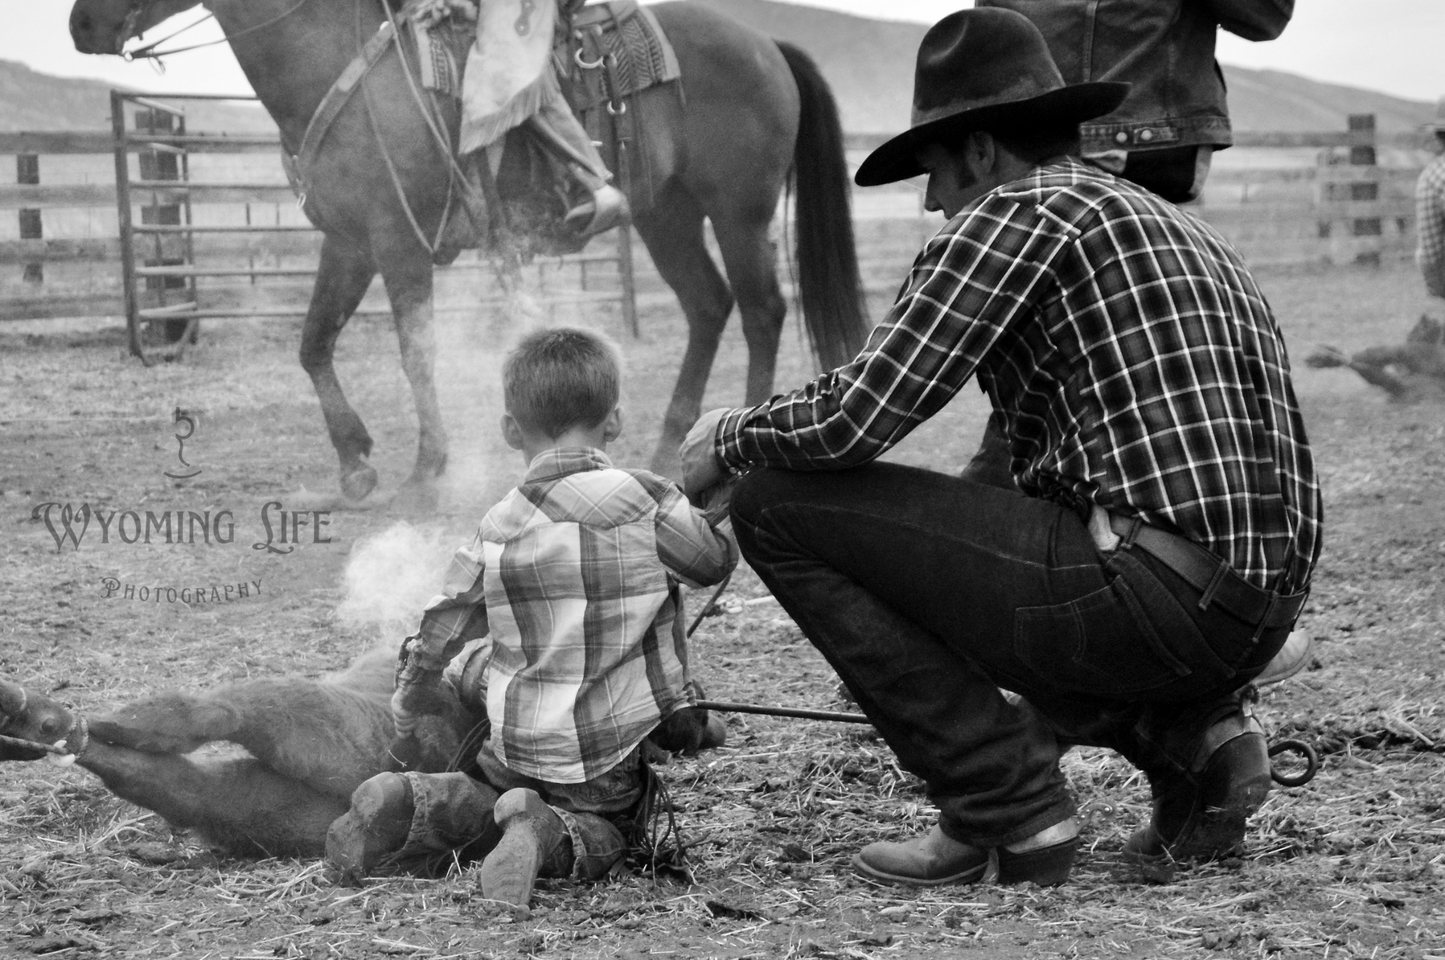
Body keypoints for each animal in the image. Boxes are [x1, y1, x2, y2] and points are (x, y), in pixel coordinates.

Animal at [65, 0, 867, 506]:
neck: (335, 65)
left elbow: (415, 351)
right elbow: (314, 343)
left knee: (760, 311)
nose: (80, 23)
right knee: (708, 306)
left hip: (738, 212)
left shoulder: (398, 242)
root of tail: (766, 45)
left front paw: (427, 470)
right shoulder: (349, 241)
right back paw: (671, 442)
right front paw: (354, 461)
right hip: (666, 213)